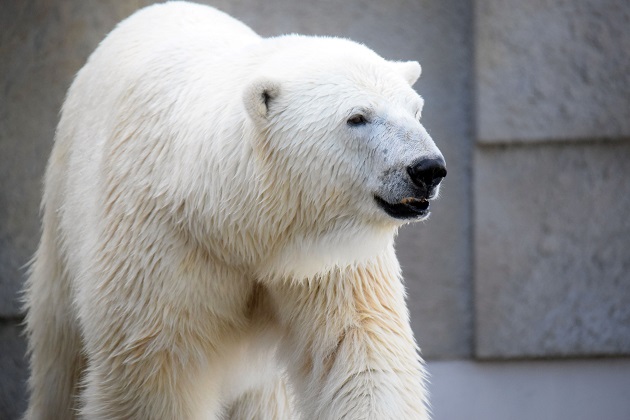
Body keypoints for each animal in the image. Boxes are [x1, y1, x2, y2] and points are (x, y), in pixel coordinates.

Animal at [22, 1, 446, 418]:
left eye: (416, 110)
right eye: (356, 117)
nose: (428, 168)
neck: (233, 224)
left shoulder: (328, 264)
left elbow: (359, 353)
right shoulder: (159, 248)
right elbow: (153, 375)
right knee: (60, 351)